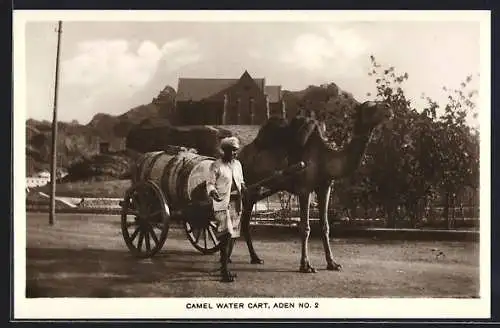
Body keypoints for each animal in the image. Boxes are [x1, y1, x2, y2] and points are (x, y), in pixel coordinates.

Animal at [236, 100, 392, 272]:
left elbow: (325, 226)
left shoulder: (325, 187)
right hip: (248, 183)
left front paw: (332, 263)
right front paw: (306, 265)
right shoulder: (304, 189)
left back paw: (254, 258)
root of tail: (240, 154)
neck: (326, 159)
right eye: (370, 107)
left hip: (257, 189)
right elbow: (305, 227)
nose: (388, 109)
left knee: (245, 219)